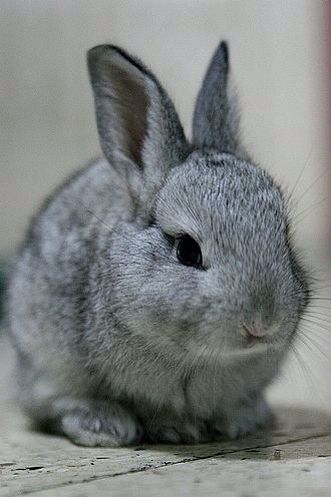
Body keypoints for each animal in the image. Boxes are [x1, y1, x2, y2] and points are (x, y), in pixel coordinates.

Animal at [7, 41, 312, 446]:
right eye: (187, 250)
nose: (262, 324)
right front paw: (172, 428)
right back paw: (103, 425)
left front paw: (239, 421)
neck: (201, 355)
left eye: (283, 234)